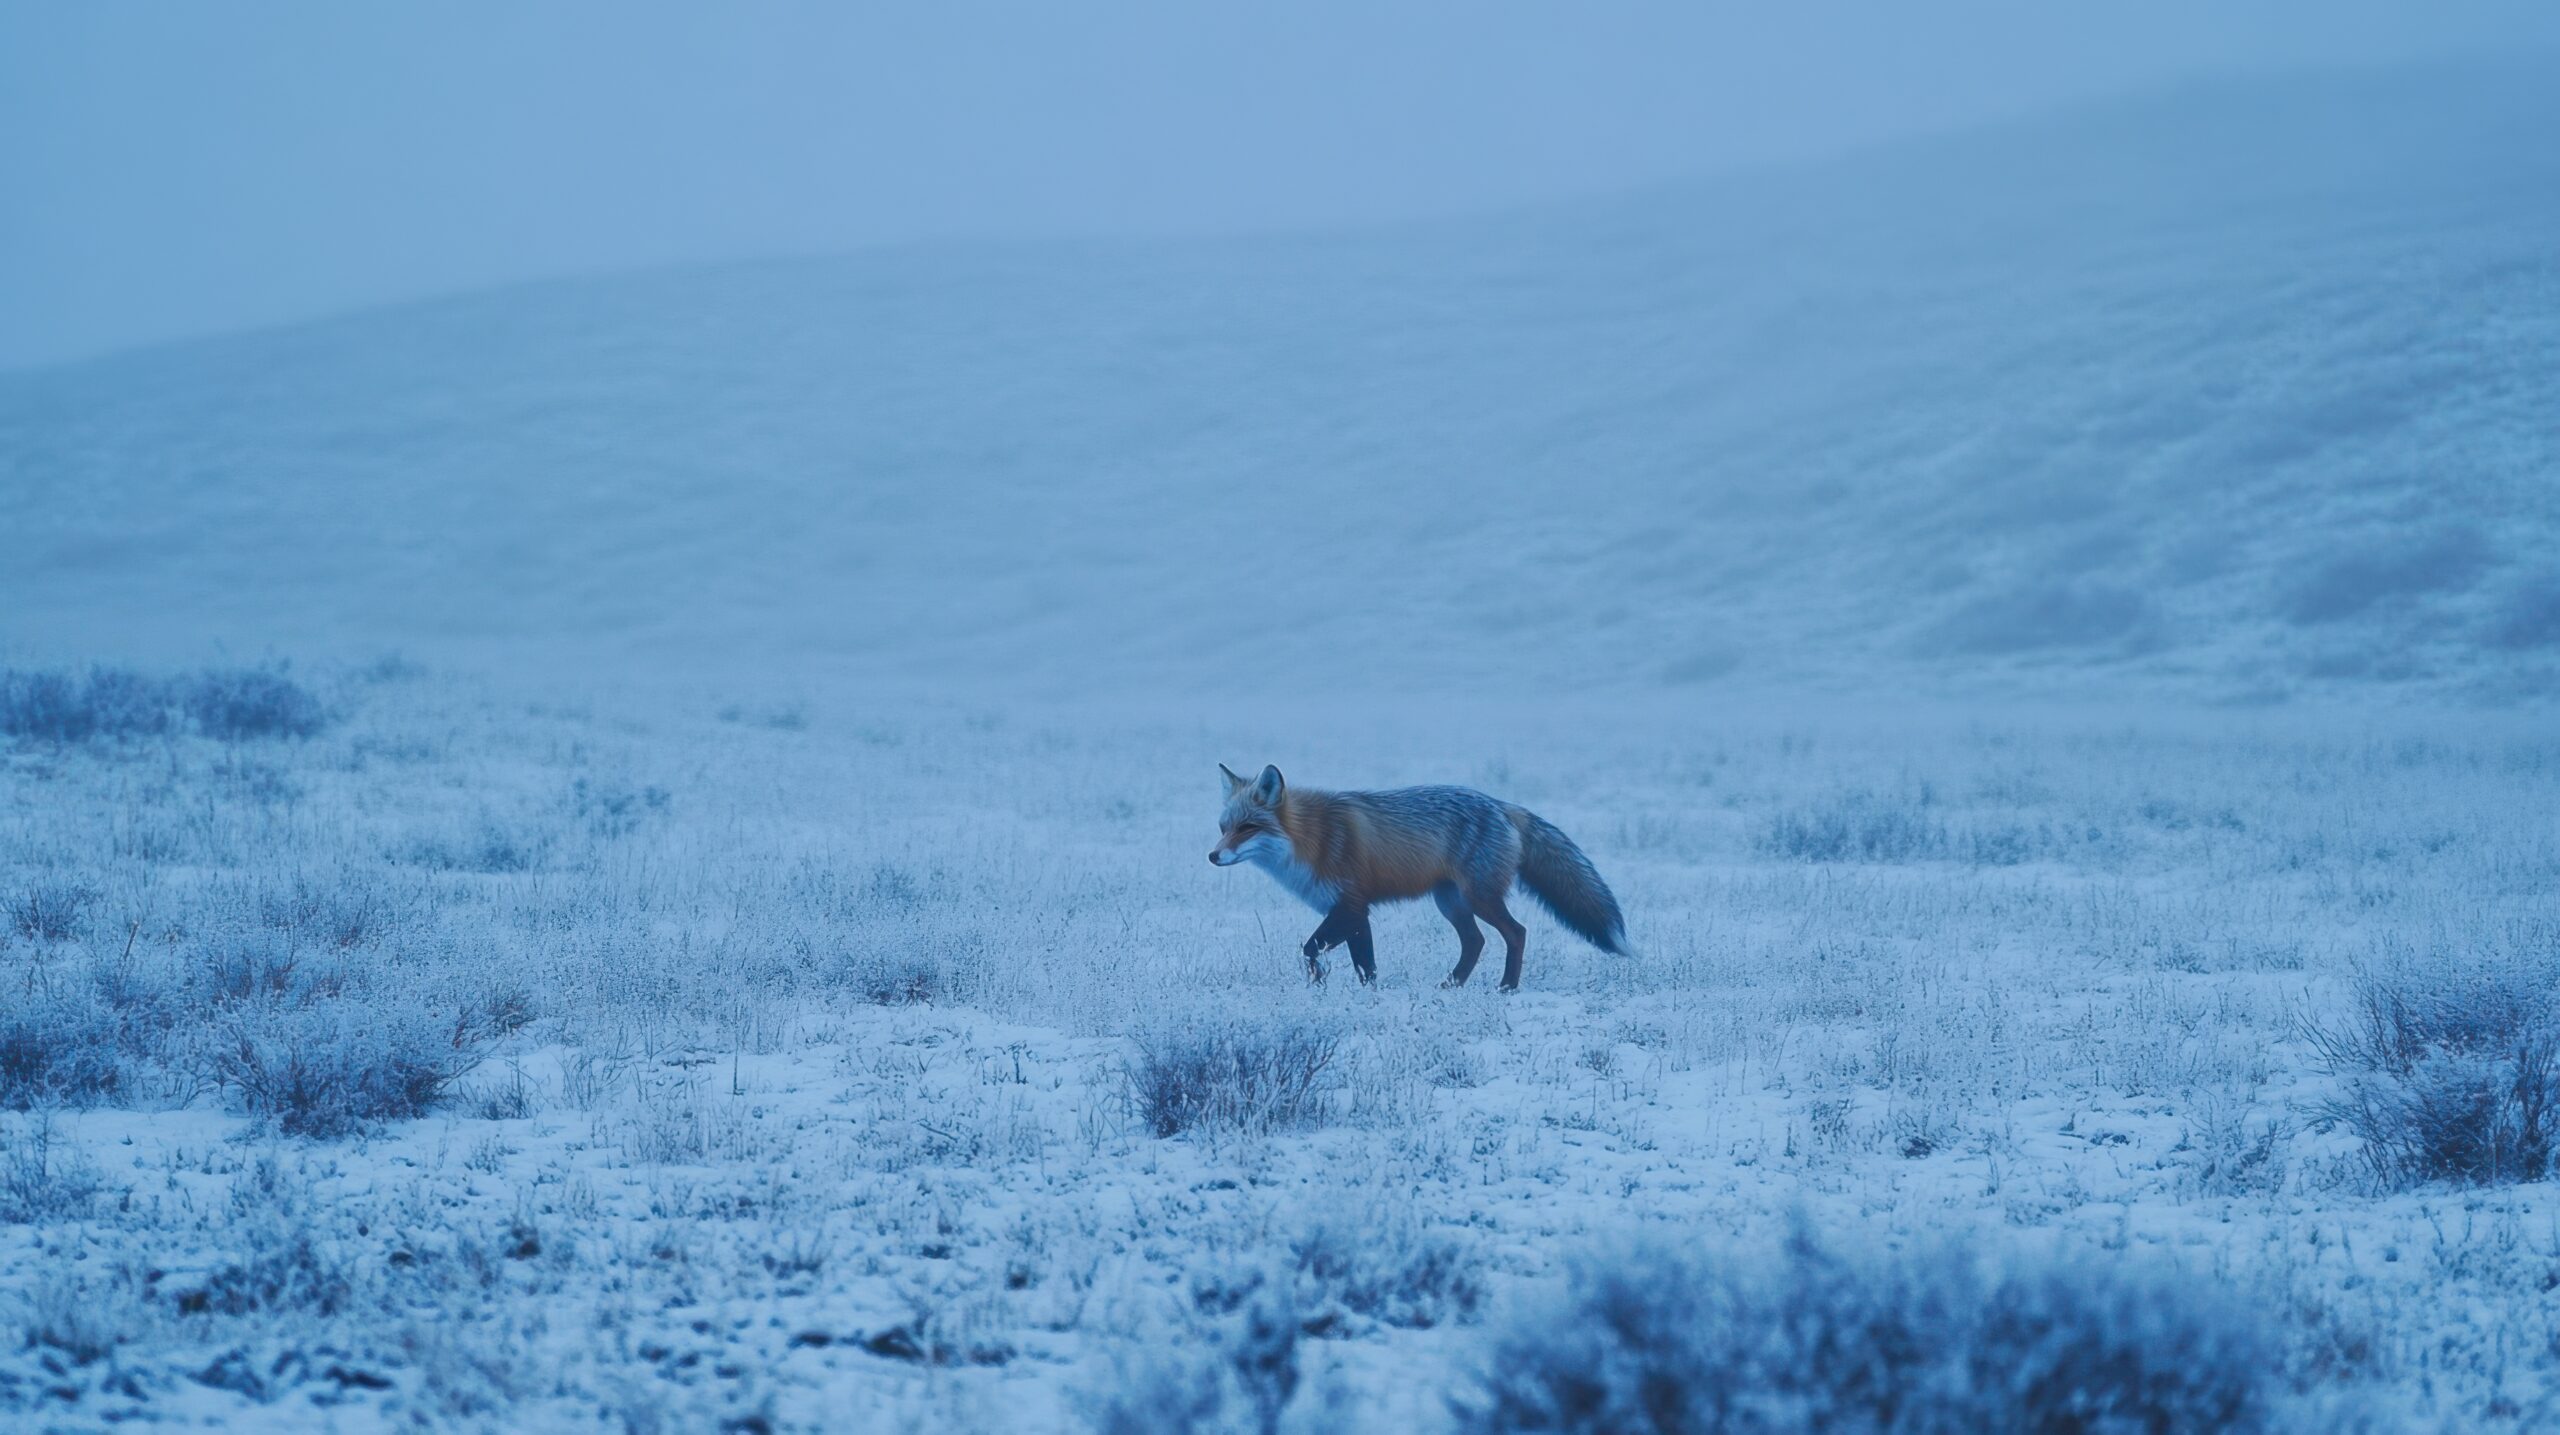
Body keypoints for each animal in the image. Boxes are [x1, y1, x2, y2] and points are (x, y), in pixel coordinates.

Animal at [1208, 763, 1635, 991]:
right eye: (1223, 828)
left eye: (1247, 828)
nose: (1213, 856)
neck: (1310, 840)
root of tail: (1502, 804)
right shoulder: (1356, 912)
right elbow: (1366, 966)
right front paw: (1363, 998)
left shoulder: (1350, 905)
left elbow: (1311, 950)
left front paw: (1321, 986)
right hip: (1450, 901)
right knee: (1476, 941)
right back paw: (1451, 986)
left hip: (1479, 897)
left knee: (1516, 933)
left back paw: (1506, 988)